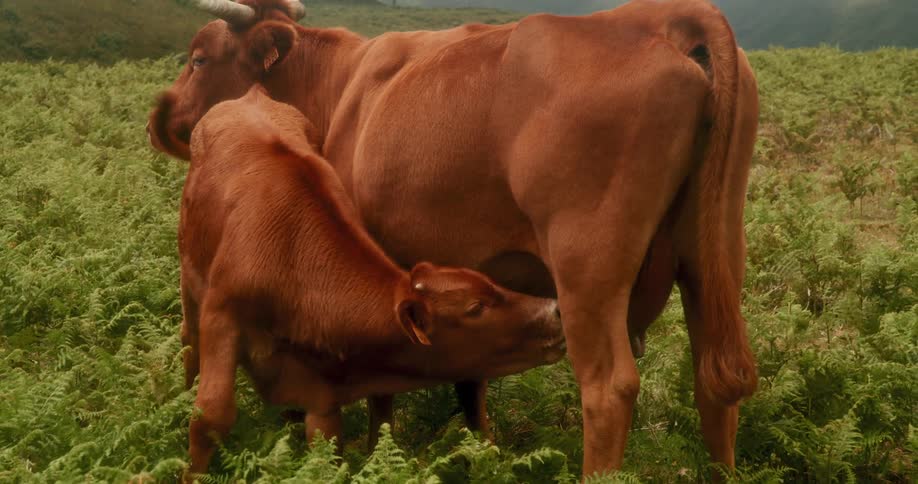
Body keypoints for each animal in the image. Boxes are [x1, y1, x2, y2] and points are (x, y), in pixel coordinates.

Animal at [179, 84, 565, 476]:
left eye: (492, 283)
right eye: (475, 307)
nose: (555, 309)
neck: (290, 255)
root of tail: (250, 95)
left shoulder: (322, 396)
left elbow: (327, 452)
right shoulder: (222, 315)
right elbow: (209, 418)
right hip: (189, 285)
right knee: (188, 342)